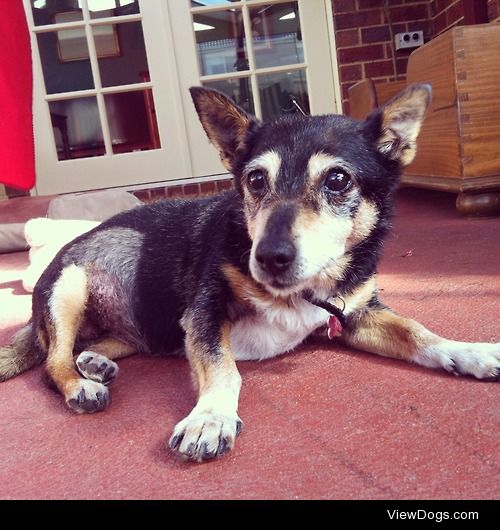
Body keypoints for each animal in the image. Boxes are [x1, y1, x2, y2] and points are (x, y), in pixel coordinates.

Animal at [0, 82, 500, 458]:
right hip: (68, 286)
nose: (270, 256)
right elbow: (223, 367)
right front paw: (211, 417)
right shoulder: (204, 312)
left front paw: (471, 352)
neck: (304, 288)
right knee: (52, 361)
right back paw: (79, 385)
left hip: (140, 327)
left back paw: (95, 363)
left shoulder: (357, 312)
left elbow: (418, 331)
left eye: (338, 180)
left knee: (94, 346)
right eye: (256, 180)